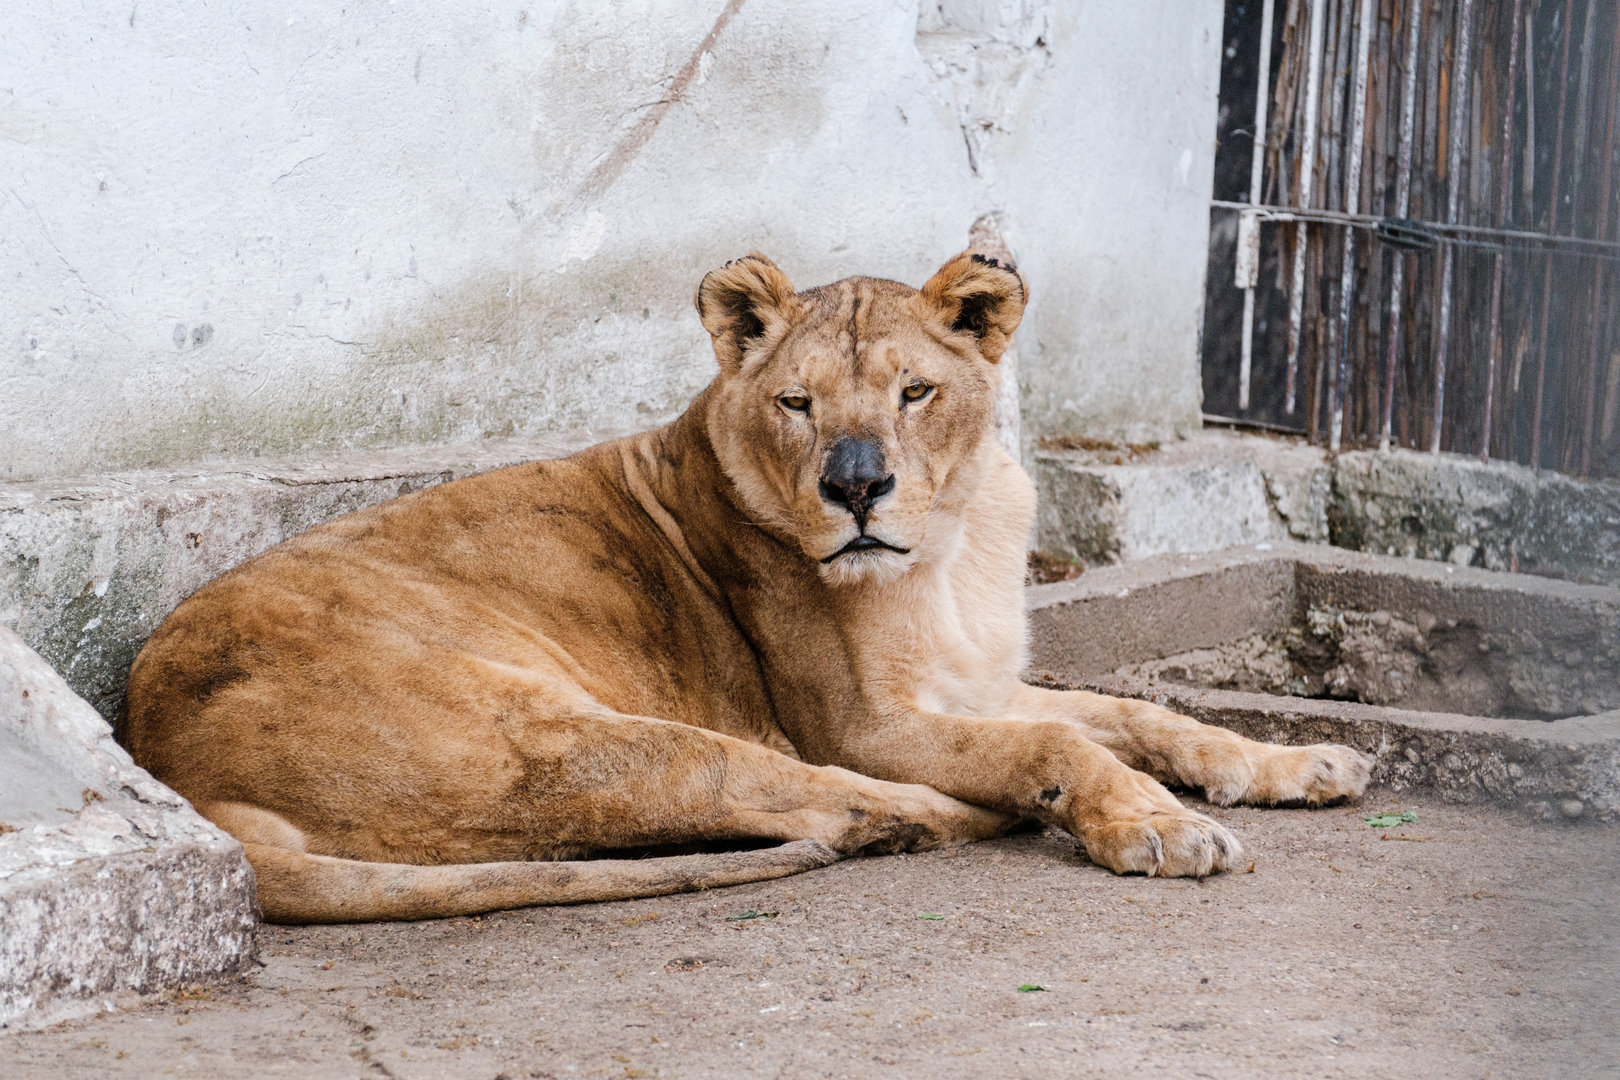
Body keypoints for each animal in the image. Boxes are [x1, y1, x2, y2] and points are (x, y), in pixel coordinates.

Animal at [123, 251, 1372, 924]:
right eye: (798, 404)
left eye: (915, 391)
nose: (856, 486)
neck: (954, 544)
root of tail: (167, 756)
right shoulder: (869, 721)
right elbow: (1061, 745)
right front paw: (1157, 827)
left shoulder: (975, 683)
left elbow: (1138, 714)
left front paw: (1297, 763)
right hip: (577, 732)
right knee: (813, 797)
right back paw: (941, 818)